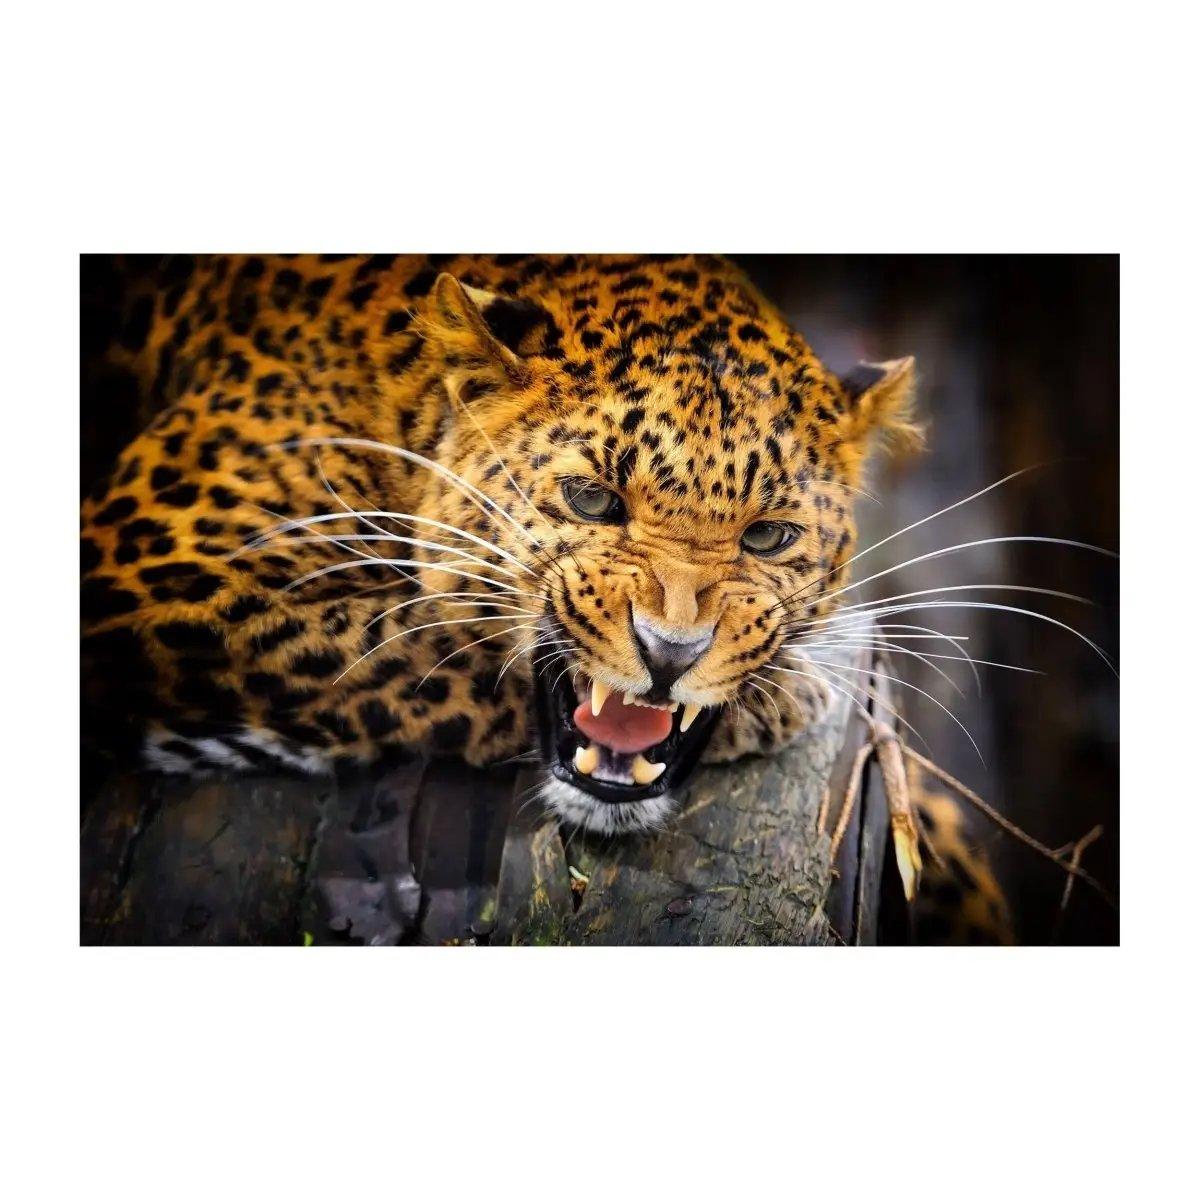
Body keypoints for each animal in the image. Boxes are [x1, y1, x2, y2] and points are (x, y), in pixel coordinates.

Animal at [80, 253, 1008, 941]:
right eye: (592, 500)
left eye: (769, 537)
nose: (671, 653)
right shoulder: (159, 569)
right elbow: (407, 646)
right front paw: (787, 699)